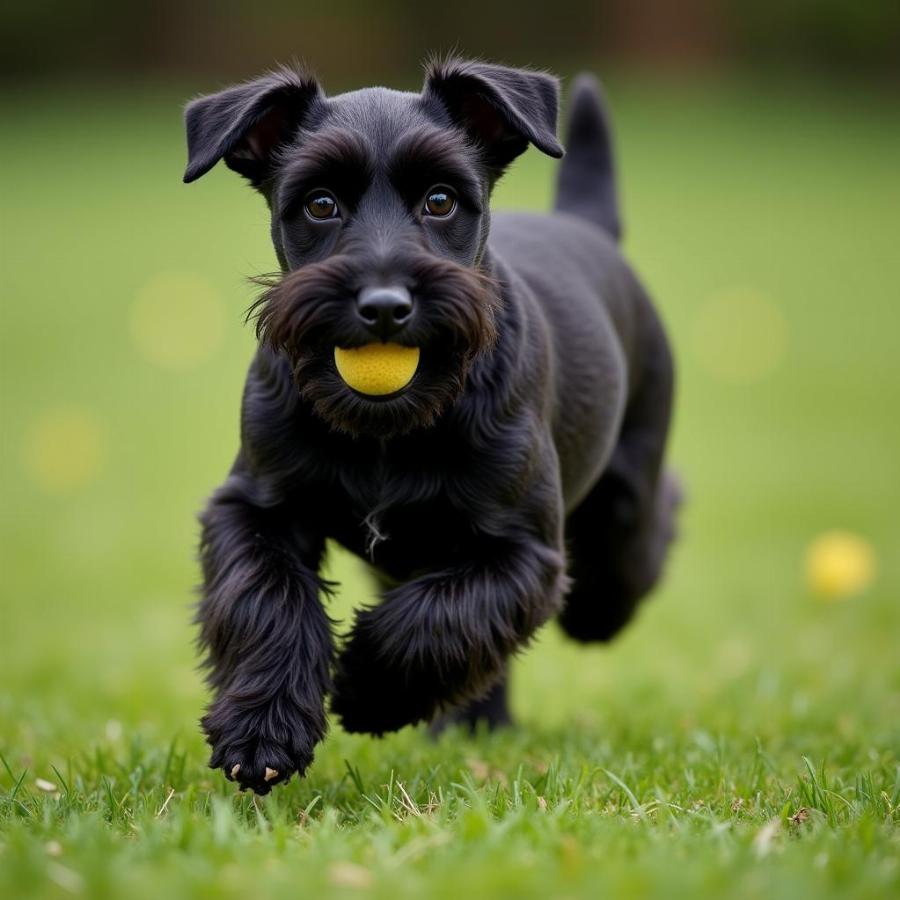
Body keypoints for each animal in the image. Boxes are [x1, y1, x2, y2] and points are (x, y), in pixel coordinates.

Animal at [181, 58, 676, 796]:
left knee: (640, 539)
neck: (389, 425)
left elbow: (440, 617)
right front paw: (261, 728)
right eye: (320, 204)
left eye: (441, 201)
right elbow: (267, 600)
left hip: (626, 500)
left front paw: (368, 689)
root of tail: (586, 228)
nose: (385, 306)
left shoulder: (520, 549)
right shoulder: (253, 506)